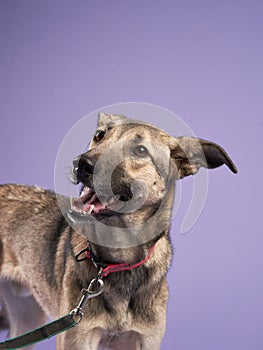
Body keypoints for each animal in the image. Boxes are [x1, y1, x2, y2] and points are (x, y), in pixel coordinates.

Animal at [0, 113, 238, 348]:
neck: (118, 259)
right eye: (99, 136)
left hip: (28, 320)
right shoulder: (78, 339)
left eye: (140, 150)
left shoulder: (145, 340)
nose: (81, 163)